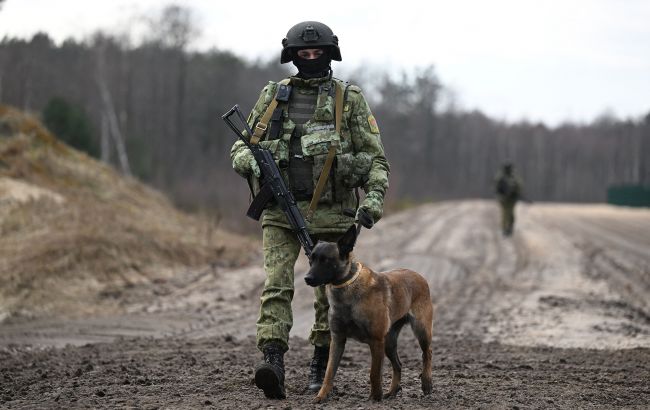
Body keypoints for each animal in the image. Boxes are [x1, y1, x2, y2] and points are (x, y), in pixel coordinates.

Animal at [302, 224, 432, 400]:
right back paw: (392, 391)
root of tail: (418, 275)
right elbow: (329, 372)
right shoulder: (338, 340)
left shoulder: (376, 341)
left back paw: (427, 382)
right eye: (311, 259)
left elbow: (374, 373)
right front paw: (321, 396)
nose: (307, 278)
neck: (346, 288)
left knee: (427, 353)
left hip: (420, 330)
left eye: (326, 260)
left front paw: (375, 398)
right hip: (389, 342)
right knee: (398, 364)